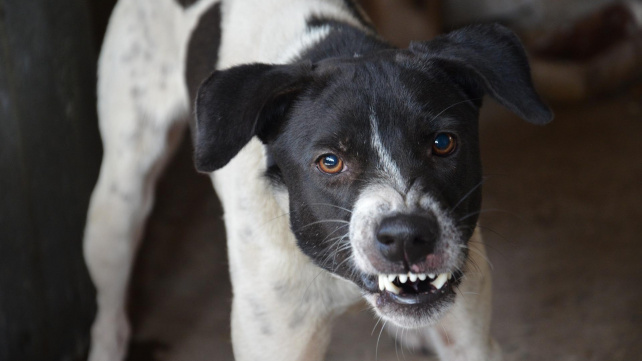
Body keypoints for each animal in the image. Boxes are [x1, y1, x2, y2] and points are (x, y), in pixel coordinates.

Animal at [81, 0, 552, 360]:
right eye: (329, 162)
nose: (406, 237)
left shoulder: (471, 340)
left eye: (443, 143)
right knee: (109, 310)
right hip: (119, 200)